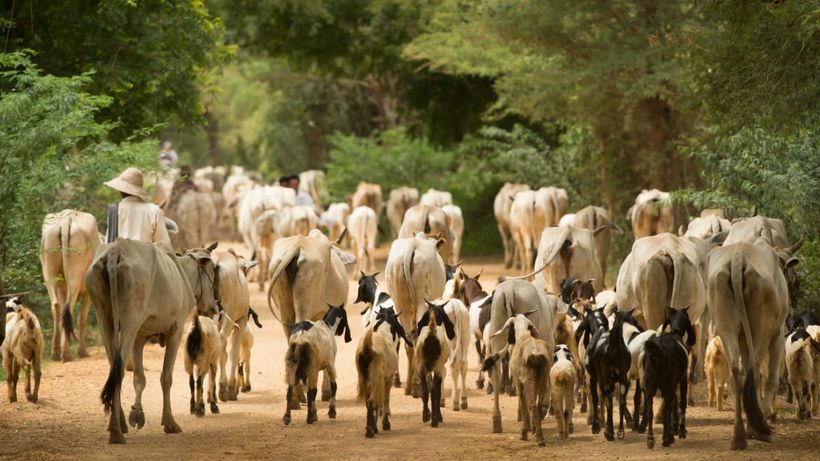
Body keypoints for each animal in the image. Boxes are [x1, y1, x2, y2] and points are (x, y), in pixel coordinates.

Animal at [356, 307, 411, 438]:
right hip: (376, 377)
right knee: (373, 400)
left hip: (364, 377)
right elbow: (385, 399)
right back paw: (370, 431)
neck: (384, 328)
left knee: (368, 401)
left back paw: (369, 428)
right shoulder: (387, 378)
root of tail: (367, 347)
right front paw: (385, 424)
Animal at [489, 313, 551, 446]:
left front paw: (524, 433)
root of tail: (535, 353)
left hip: (528, 379)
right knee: (538, 405)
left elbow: (523, 403)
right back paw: (539, 434)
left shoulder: (518, 381)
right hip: (543, 377)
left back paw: (537, 438)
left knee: (532, 405)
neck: (523, 335)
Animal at [642, 308, 696, 448]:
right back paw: (667, 439)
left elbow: (673, 403)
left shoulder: (669, 386)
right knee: (667, 409)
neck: (675, 332)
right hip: (667, 385)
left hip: (650, 387)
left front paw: (673, 429)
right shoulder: (682, 380)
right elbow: (681, 403)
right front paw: (680, 430)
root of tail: (657, 352)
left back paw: (651, 439)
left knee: (650, 411)